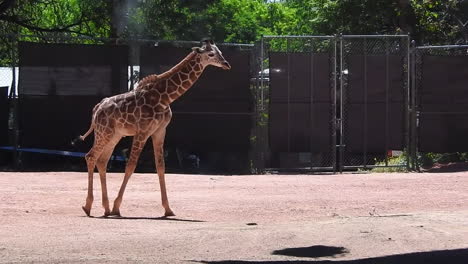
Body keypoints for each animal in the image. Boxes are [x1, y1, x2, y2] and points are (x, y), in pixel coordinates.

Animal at [79, 39, 231, 217]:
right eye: (211, 54)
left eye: (220, 52)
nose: (226, 64)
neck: (164, 98)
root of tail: (97, 108)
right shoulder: (143, 131)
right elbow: (131, 165)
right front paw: (117, 207)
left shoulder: (160, 131)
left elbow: (161, 166)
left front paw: (168, 209)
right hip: (104, 132)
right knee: (90, 156)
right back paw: (89, 206)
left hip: (115, 134)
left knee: (102, 161)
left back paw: (106, 208)